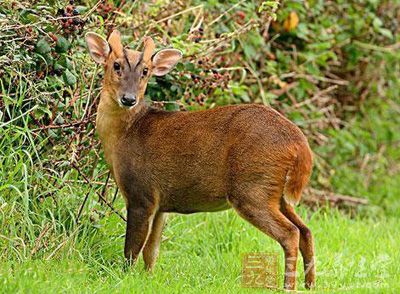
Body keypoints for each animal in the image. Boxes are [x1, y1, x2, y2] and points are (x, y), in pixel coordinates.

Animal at [85, 29, 316, 290]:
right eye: (116, 65)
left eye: (145, 71)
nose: (128, 99)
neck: (123, 135)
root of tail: (300, 145)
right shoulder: (161, 202)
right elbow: (152, 250)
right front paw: (149, 278)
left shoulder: (140, 193)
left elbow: (132, 249)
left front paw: (125, 278)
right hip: (276, 194)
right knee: (306, 230)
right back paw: (310, 285)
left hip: (251, 188)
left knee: (290, 233)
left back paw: (288, 287)